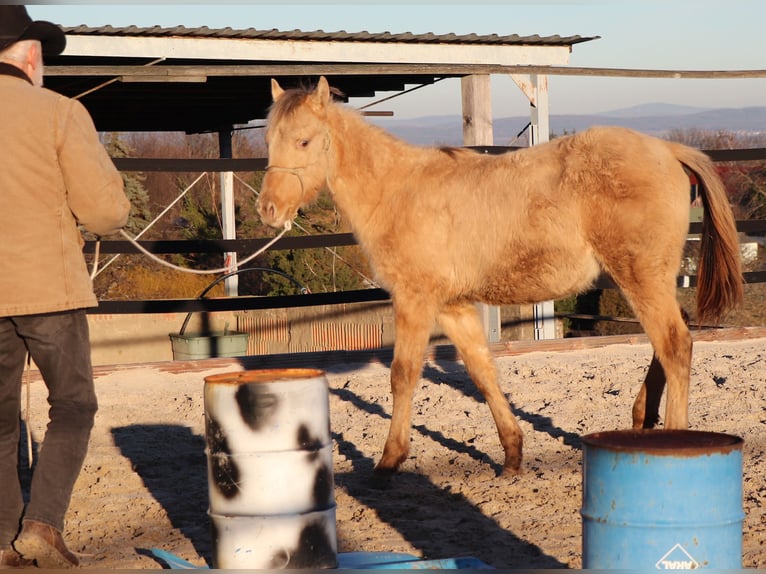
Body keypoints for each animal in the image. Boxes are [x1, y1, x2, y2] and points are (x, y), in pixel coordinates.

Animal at [256, 77, 744, 482]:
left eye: (303, 140)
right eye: (269, 140)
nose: (268, 211)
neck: (397, 191)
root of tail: (667, 150)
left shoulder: (415, 300)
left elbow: (403, 375)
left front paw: (389, 461)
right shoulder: (452, 307)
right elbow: (482, 371)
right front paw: (512, 456)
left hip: (639, 275)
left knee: (675, 344)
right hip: (648, 277)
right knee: (669, 339)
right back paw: (641, 418)